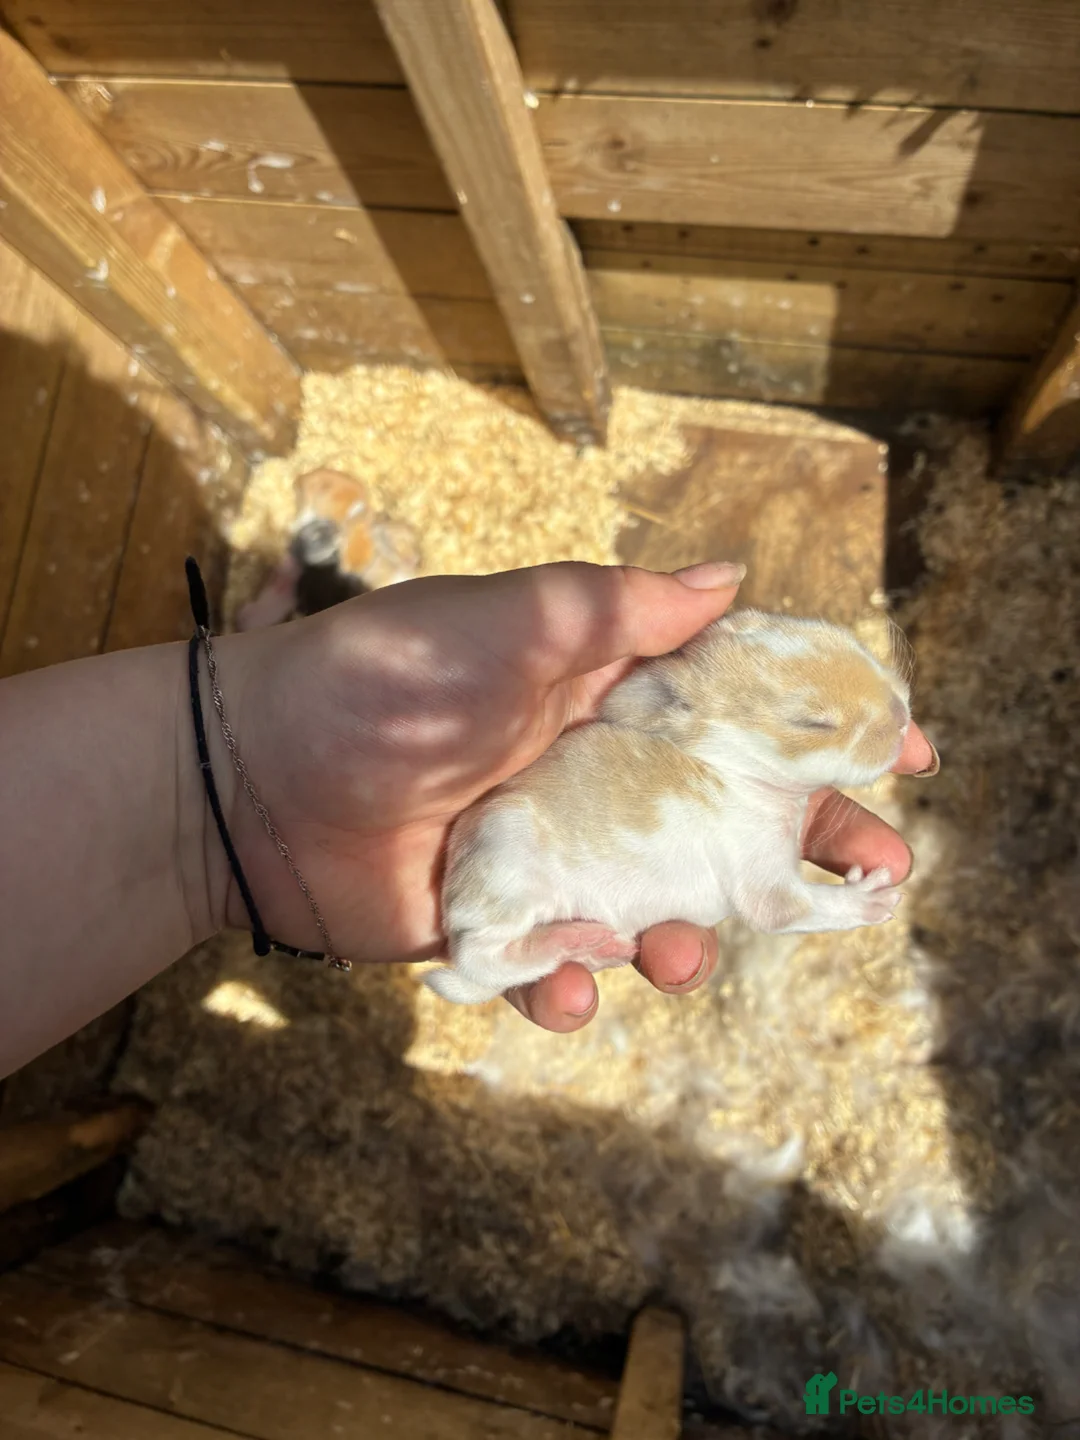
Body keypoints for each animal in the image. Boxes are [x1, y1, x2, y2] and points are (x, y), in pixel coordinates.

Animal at [424, 609, 917, 1006]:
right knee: (480, 958)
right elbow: (792, 910)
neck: (734, 773)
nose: (901, 713)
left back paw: (598, 949)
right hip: (507, 870)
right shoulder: (765, 880)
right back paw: (572, 942)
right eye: (813, 723)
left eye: (852, 643)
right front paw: (873, 898)